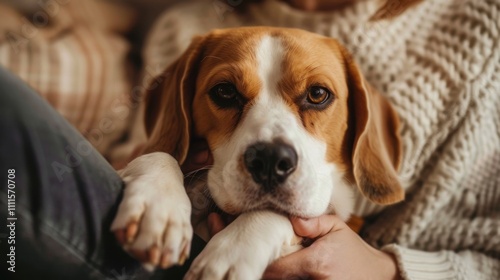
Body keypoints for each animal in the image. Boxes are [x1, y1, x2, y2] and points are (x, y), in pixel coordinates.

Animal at [109, 25, 402, 278]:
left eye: (318, 94)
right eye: (225, 91)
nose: (270, 159)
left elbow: (277, 213)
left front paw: (232, 251)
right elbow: (162, 154)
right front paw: (158, 208)